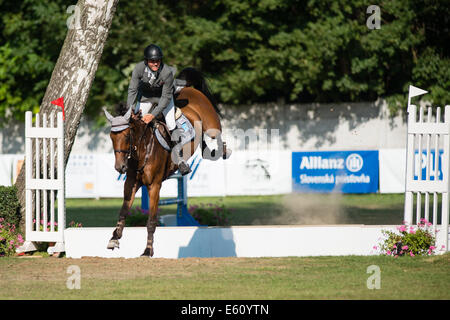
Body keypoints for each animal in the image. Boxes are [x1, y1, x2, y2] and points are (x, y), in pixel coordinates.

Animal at [102, 68, 229, 258]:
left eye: (126, 135)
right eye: (112, 137)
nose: (120, 167)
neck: (142, 149)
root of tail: (189, 89)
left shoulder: (154, 185)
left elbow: (151, 220)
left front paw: (147, 250)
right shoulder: (131, 183)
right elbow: (123, 211)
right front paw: (114, 239)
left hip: (211, 123)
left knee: (217, 135)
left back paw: (223, 150)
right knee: (204, 142)